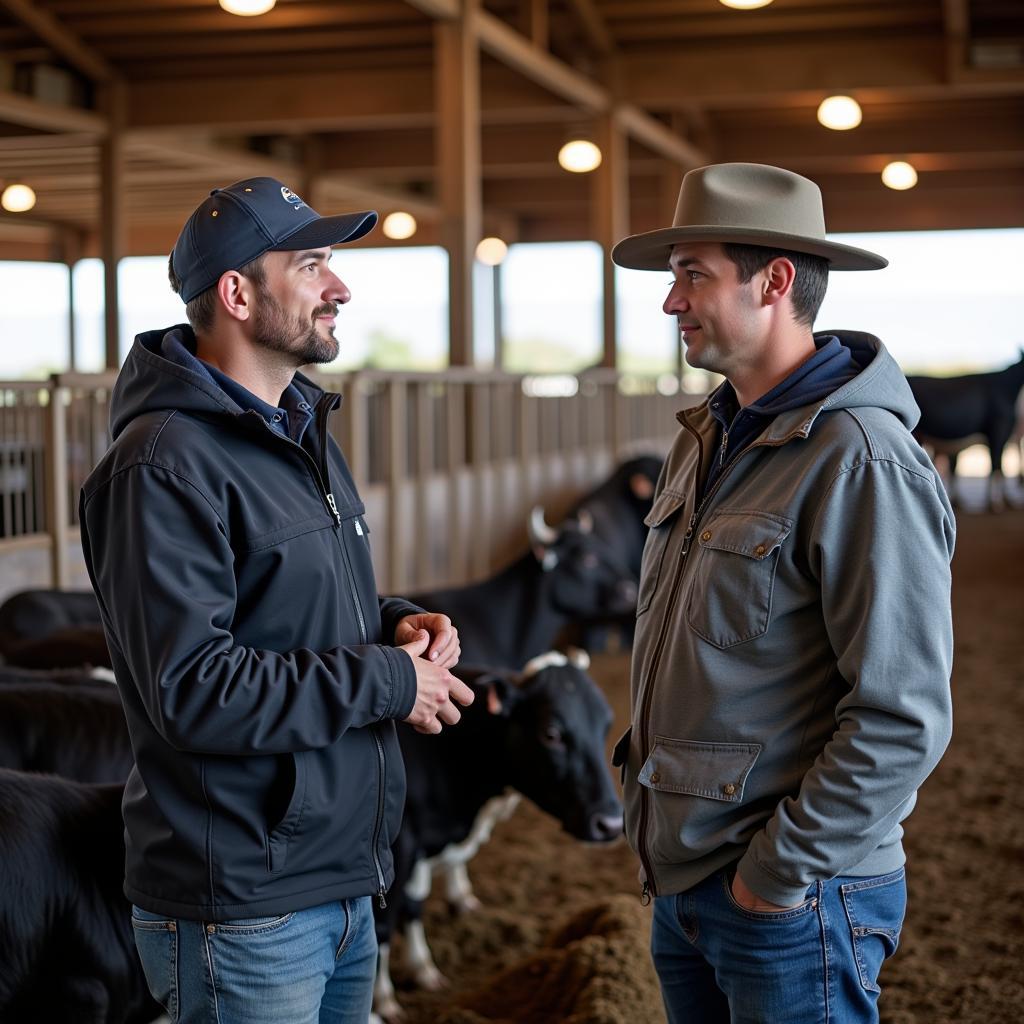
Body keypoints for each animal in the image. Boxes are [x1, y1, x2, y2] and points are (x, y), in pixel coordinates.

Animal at [372, 651, 618, 1019]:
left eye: (605, 726)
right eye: (551, 734)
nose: (611, 824)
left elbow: (412, 907)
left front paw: (423, 968)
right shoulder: (400, 847)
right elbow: (385, 923)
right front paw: (384, 998)